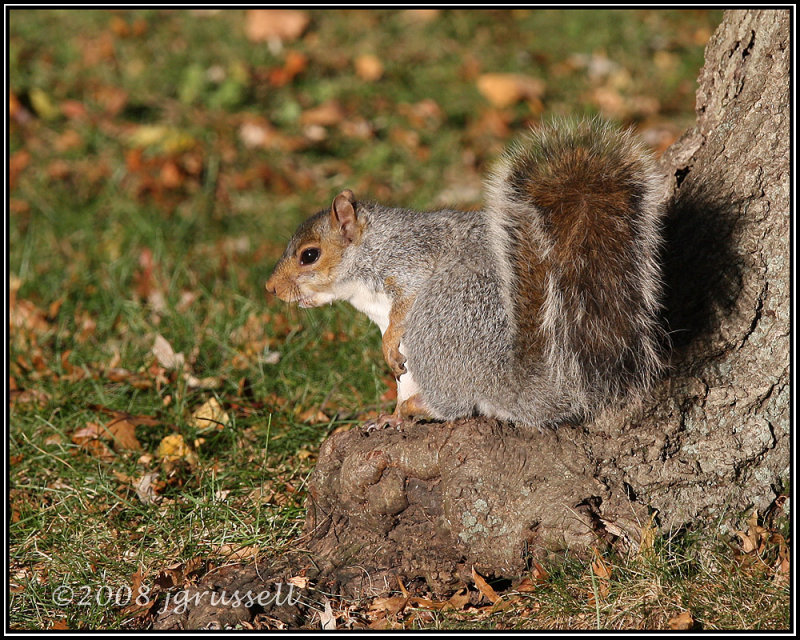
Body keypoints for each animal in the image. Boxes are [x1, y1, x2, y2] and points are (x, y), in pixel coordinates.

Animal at [266, 120, 664, 430]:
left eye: (309, 255)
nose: (270, 288)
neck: (369, 249)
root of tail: (506, 383)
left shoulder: (408, 261)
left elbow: (405, 303)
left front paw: (388, 343)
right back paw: (396, 414)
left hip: (436, 326)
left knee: (455, 406)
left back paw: (417, 406)